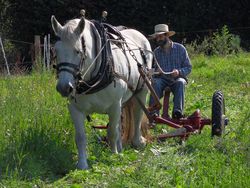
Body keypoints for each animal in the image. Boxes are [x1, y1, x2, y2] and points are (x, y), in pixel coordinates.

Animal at [50, 15, 152, 170]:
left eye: (78, 51)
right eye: (56, 51)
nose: (64, 87)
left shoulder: (114, 105)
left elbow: (112, 132)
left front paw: (113, 156)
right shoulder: (74, 108)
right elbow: (81, 137)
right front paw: (82, 164)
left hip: (142, 91)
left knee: (137, 115)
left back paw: (137, 142)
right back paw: (121, 148)